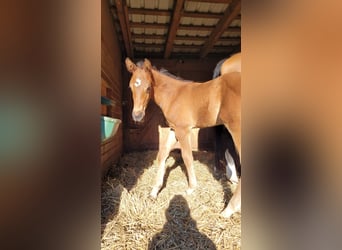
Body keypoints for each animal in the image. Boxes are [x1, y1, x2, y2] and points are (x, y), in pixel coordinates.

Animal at [125, 57, 240, 217]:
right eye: (131, 87)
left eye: (148, 87)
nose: (137, 116)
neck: (174, 95)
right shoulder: (174, 129)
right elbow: (162, 155)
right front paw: (154, 191)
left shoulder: (183, 130)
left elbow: (187, 157)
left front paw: (191, 188)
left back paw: (228, 210)